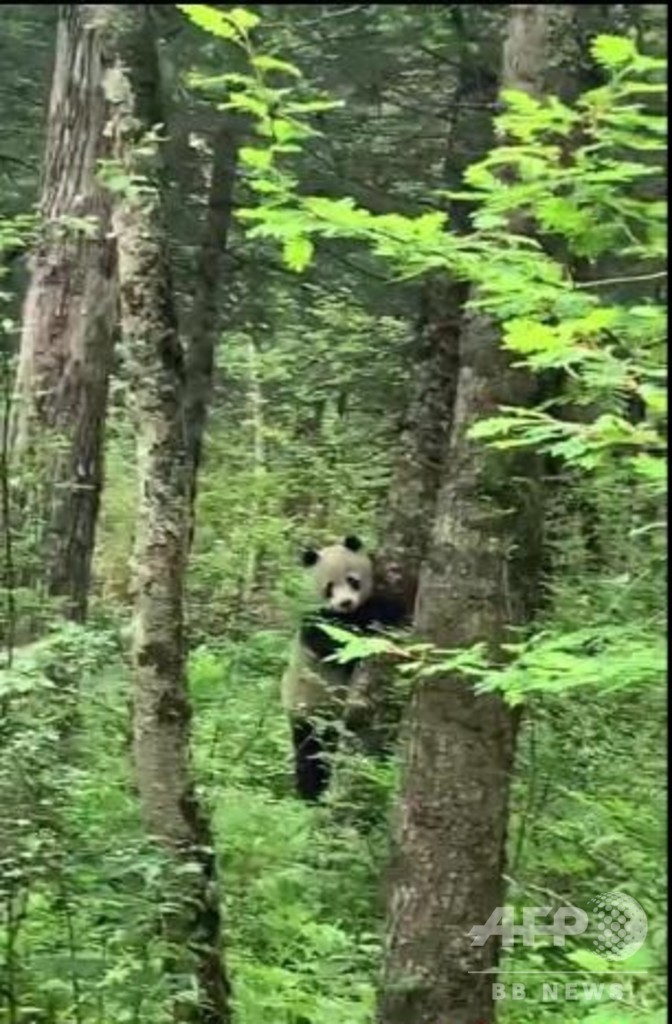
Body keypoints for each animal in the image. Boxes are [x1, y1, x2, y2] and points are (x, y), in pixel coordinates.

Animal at [280, 536, 407, 798]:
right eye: (329, 587)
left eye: (352, 580)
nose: (345, 602)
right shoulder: (316, 623)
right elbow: (341, 644)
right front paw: (389, 608)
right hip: (310, 709)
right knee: (311, 755)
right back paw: (310, 796)